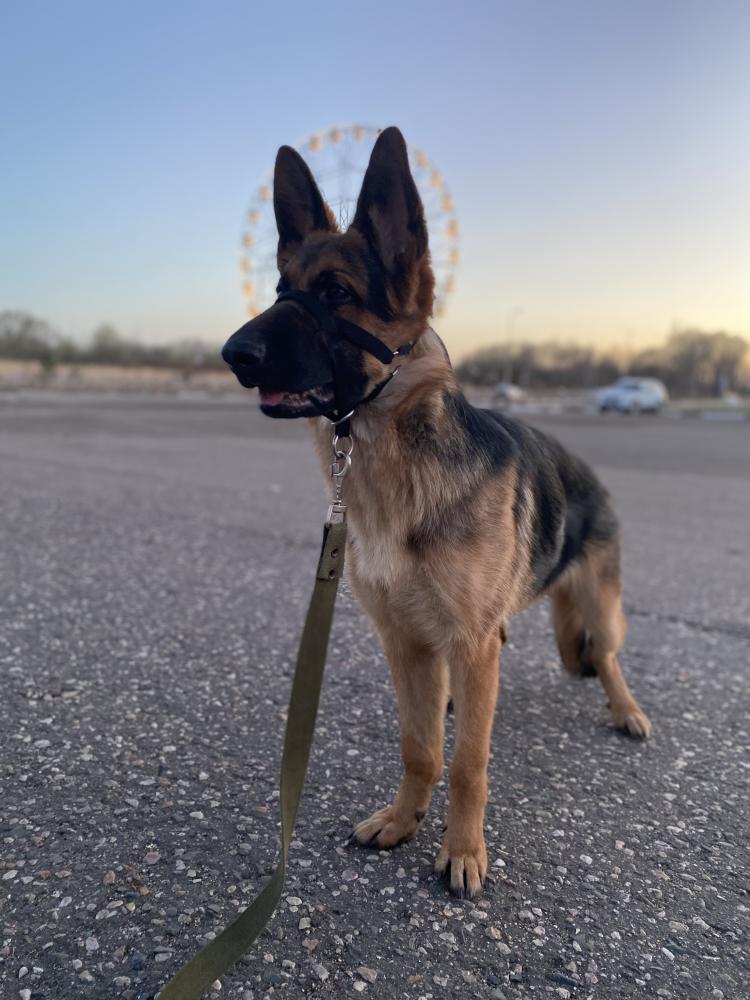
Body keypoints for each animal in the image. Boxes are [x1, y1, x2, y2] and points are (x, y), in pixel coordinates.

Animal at [222, 126, 652, 898]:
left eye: (335, 293)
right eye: (280, 290)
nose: (232, 353)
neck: (397, 468)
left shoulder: (470, 643)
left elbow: (468, 763)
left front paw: (462, 849)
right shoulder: (405, 641)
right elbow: (419, 746)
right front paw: (404, 820)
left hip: (599, 608)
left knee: (606, 656)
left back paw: (627, 709)